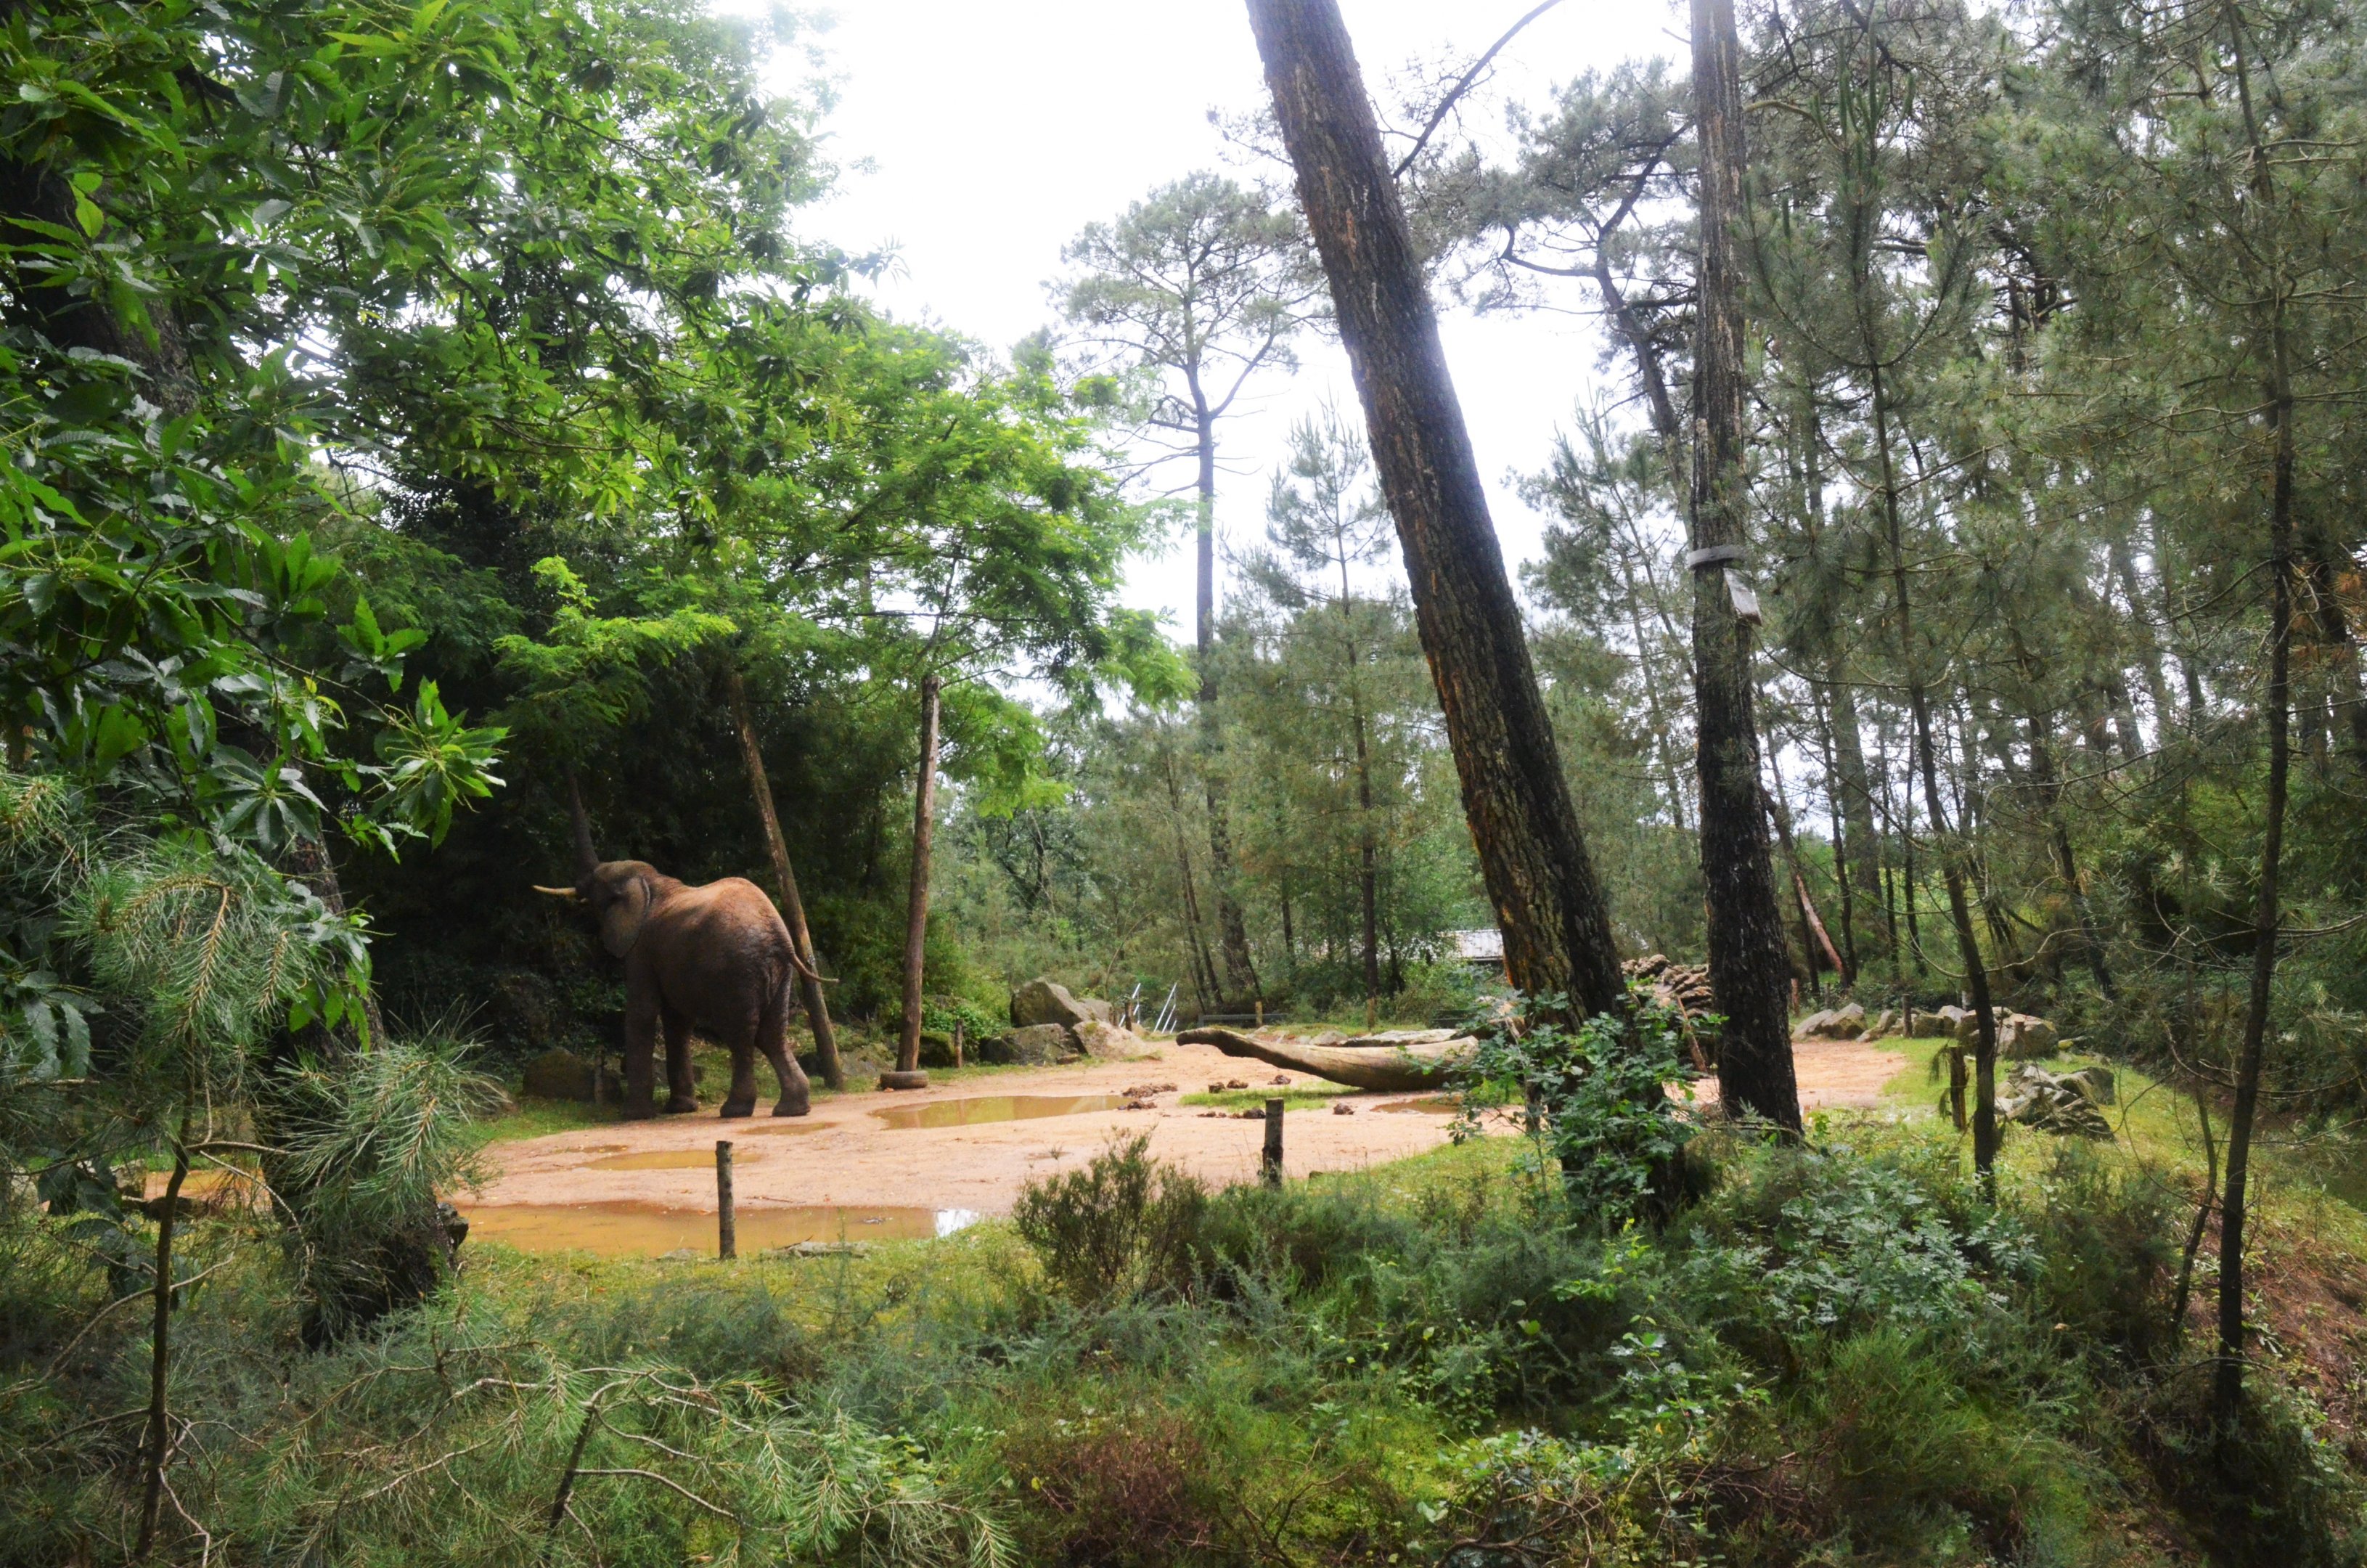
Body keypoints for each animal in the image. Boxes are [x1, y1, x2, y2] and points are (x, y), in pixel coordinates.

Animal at [535, 857, 812, 1121]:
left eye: (595, 883)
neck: (649, 882)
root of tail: (779, 937)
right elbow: (677, 1021)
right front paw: (680, 1109)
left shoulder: (641, 948)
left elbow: (642, 1012)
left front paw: (634, 1115)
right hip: (779, 974)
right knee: (772, 1033)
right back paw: (792, 1110)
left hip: (736, 972)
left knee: (740, 1035)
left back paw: (734, 1111)